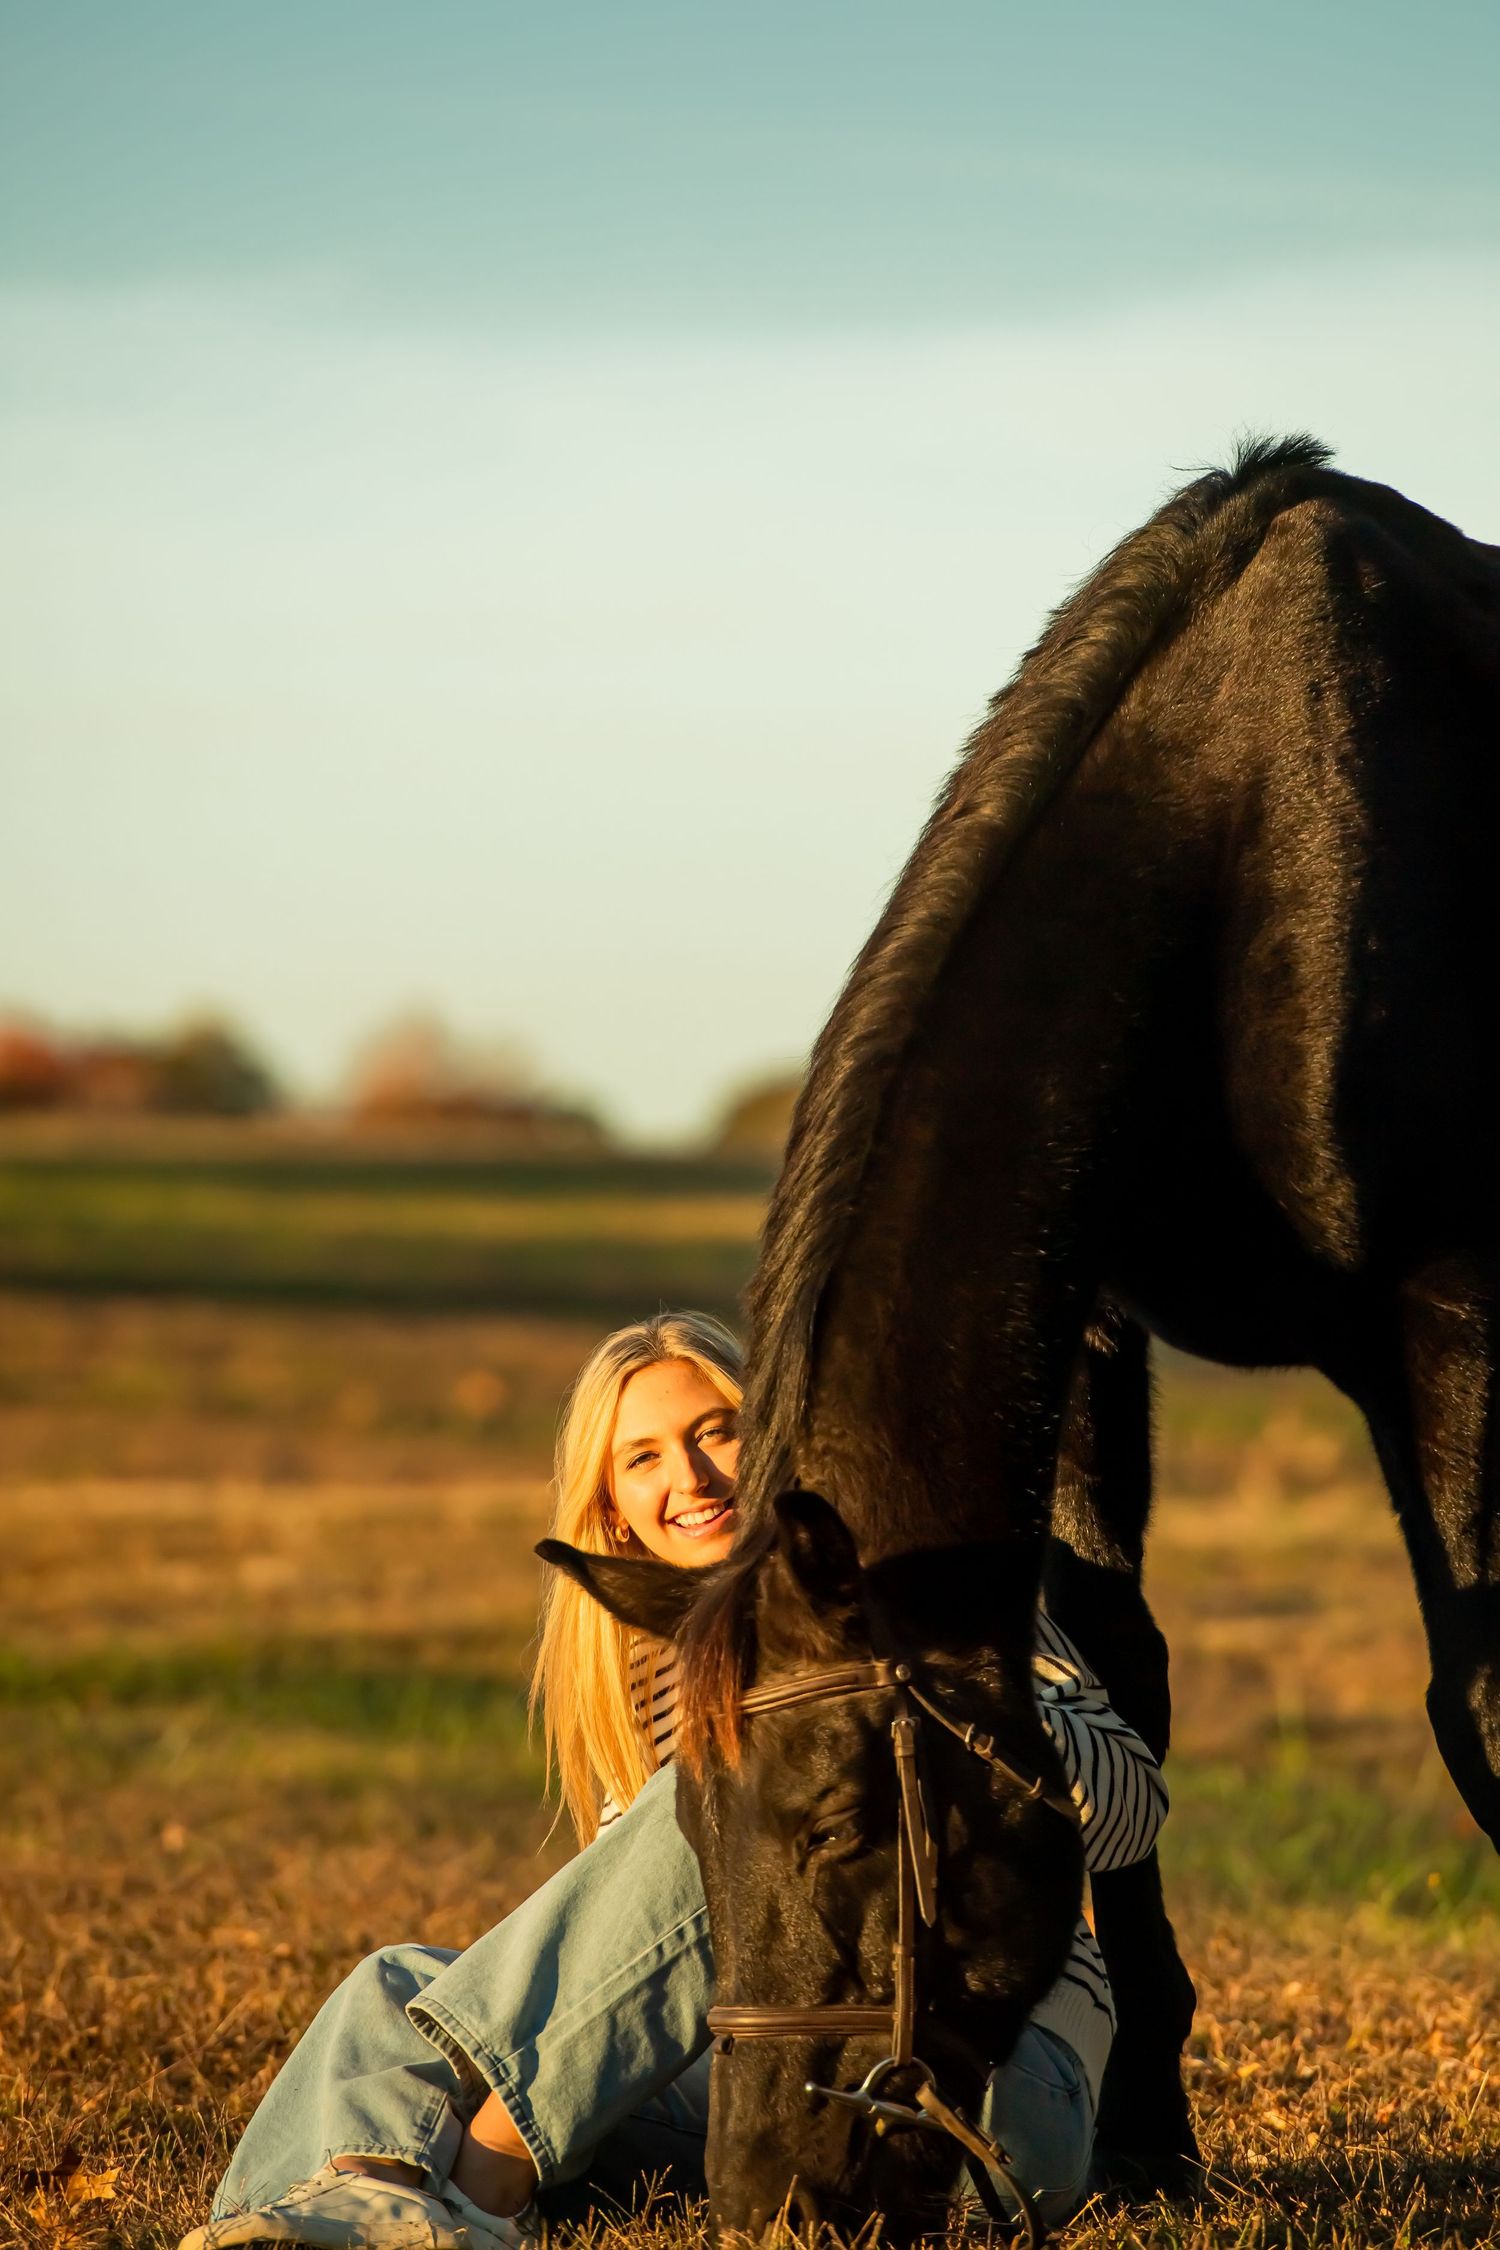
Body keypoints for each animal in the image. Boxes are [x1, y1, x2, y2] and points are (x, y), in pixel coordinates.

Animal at [545, 436, 1500, 2238]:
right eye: (685, 1829)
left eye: (842, 1825)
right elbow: (1128, 1682)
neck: (1252, 833)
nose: (766, 2195)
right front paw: (1151, 2135)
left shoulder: (1450, 1313)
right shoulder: (1095, 1336)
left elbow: (1479, 1703)